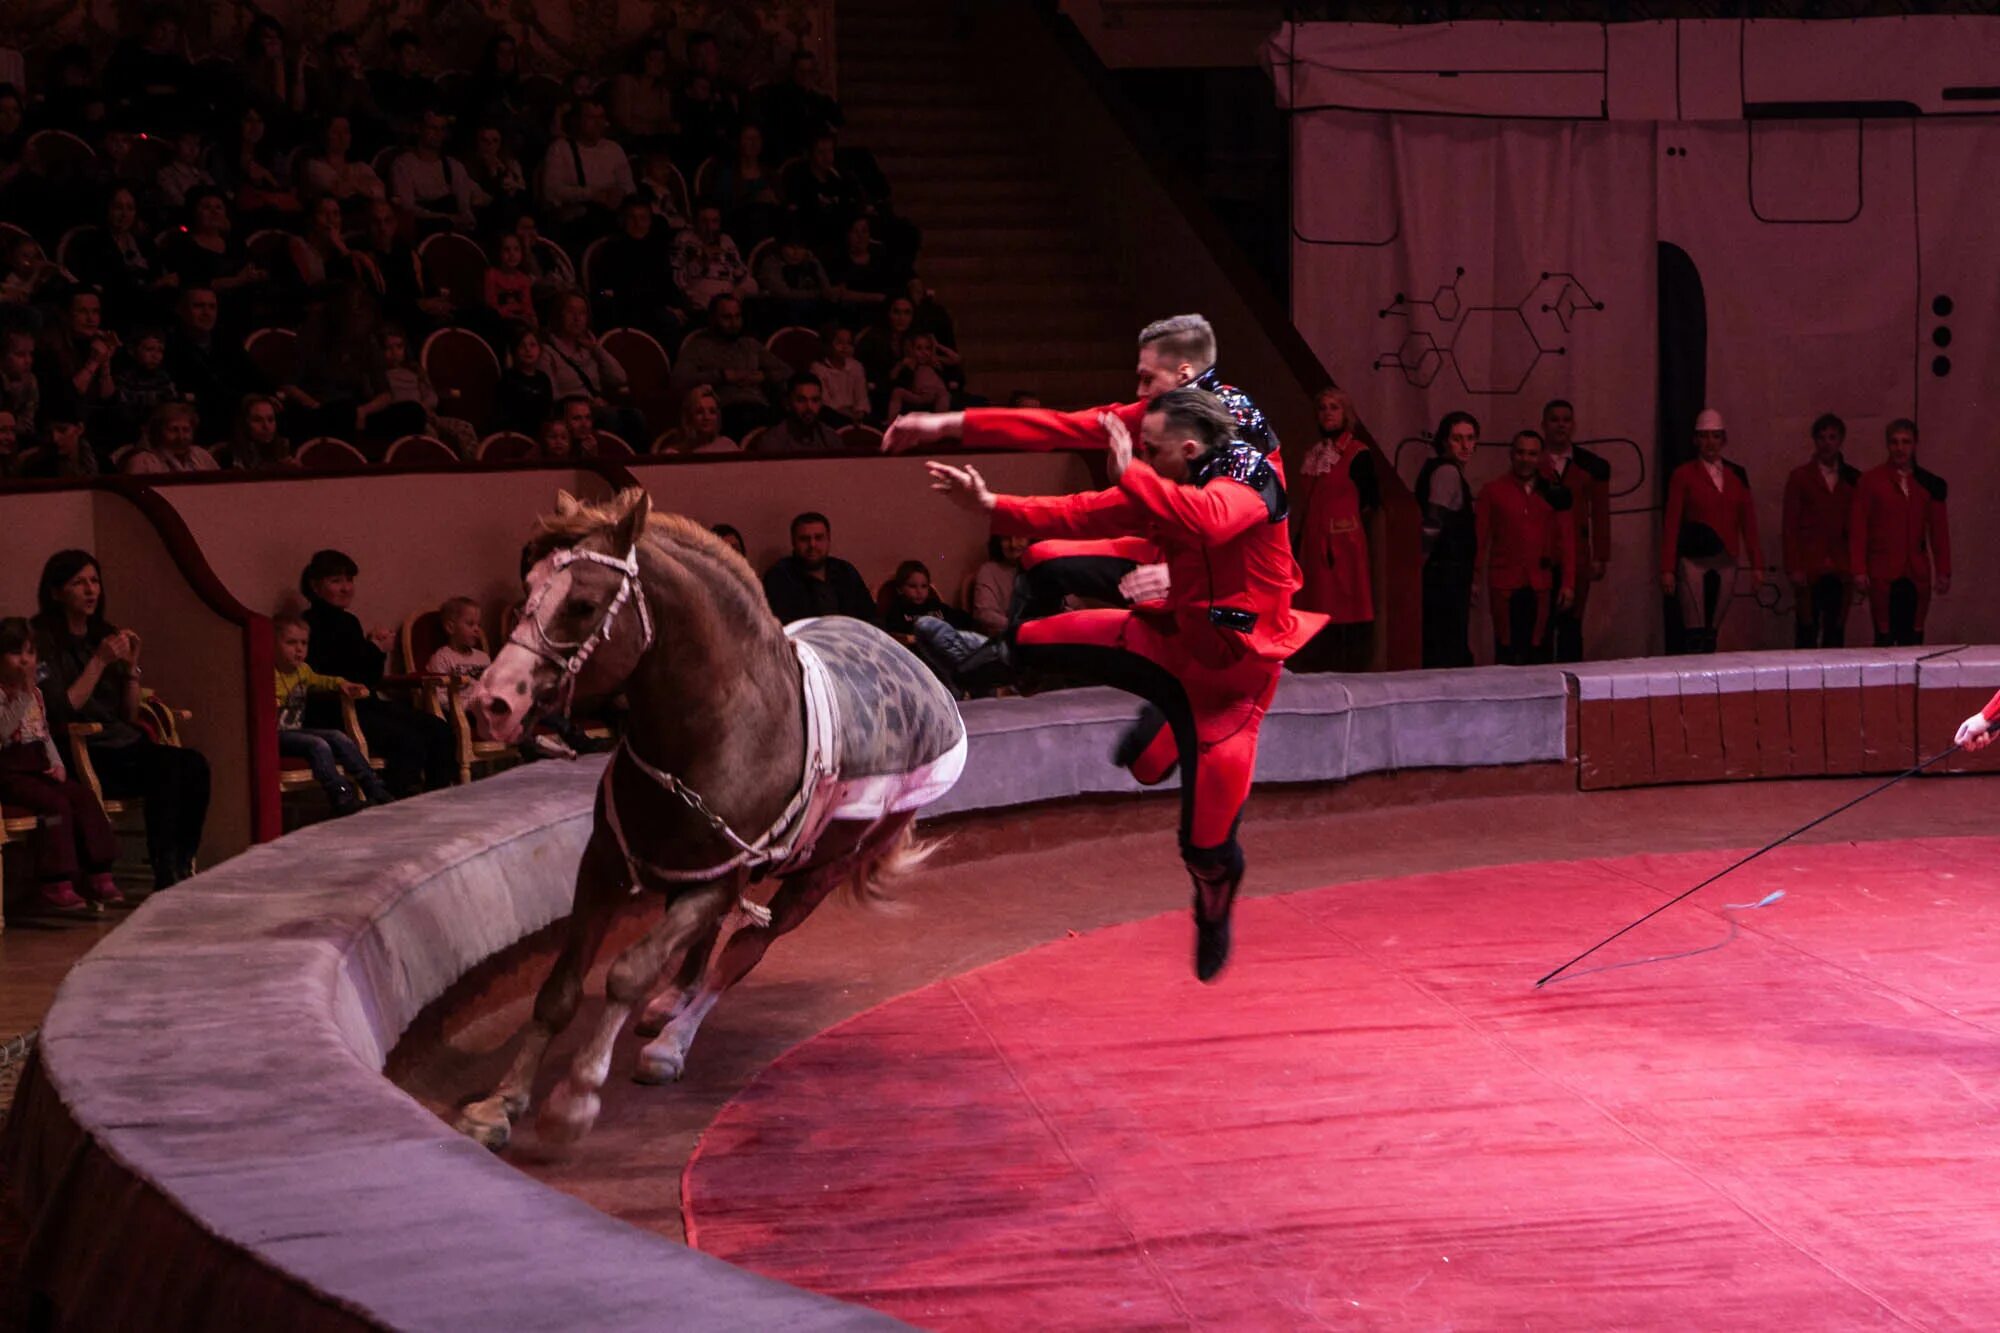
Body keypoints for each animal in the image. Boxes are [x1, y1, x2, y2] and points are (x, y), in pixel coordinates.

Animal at [466, 488, 968, 1144]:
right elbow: (560, 989)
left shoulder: (719, 879)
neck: (717, 734)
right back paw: (673, 1001)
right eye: (527, 588)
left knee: (747, 947)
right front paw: (500, 1102)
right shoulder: (603, 864)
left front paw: (575, 1096)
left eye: (582, 604)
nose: (492, 703)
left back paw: (672, 1042)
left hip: (824, 872)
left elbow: (630, 971)